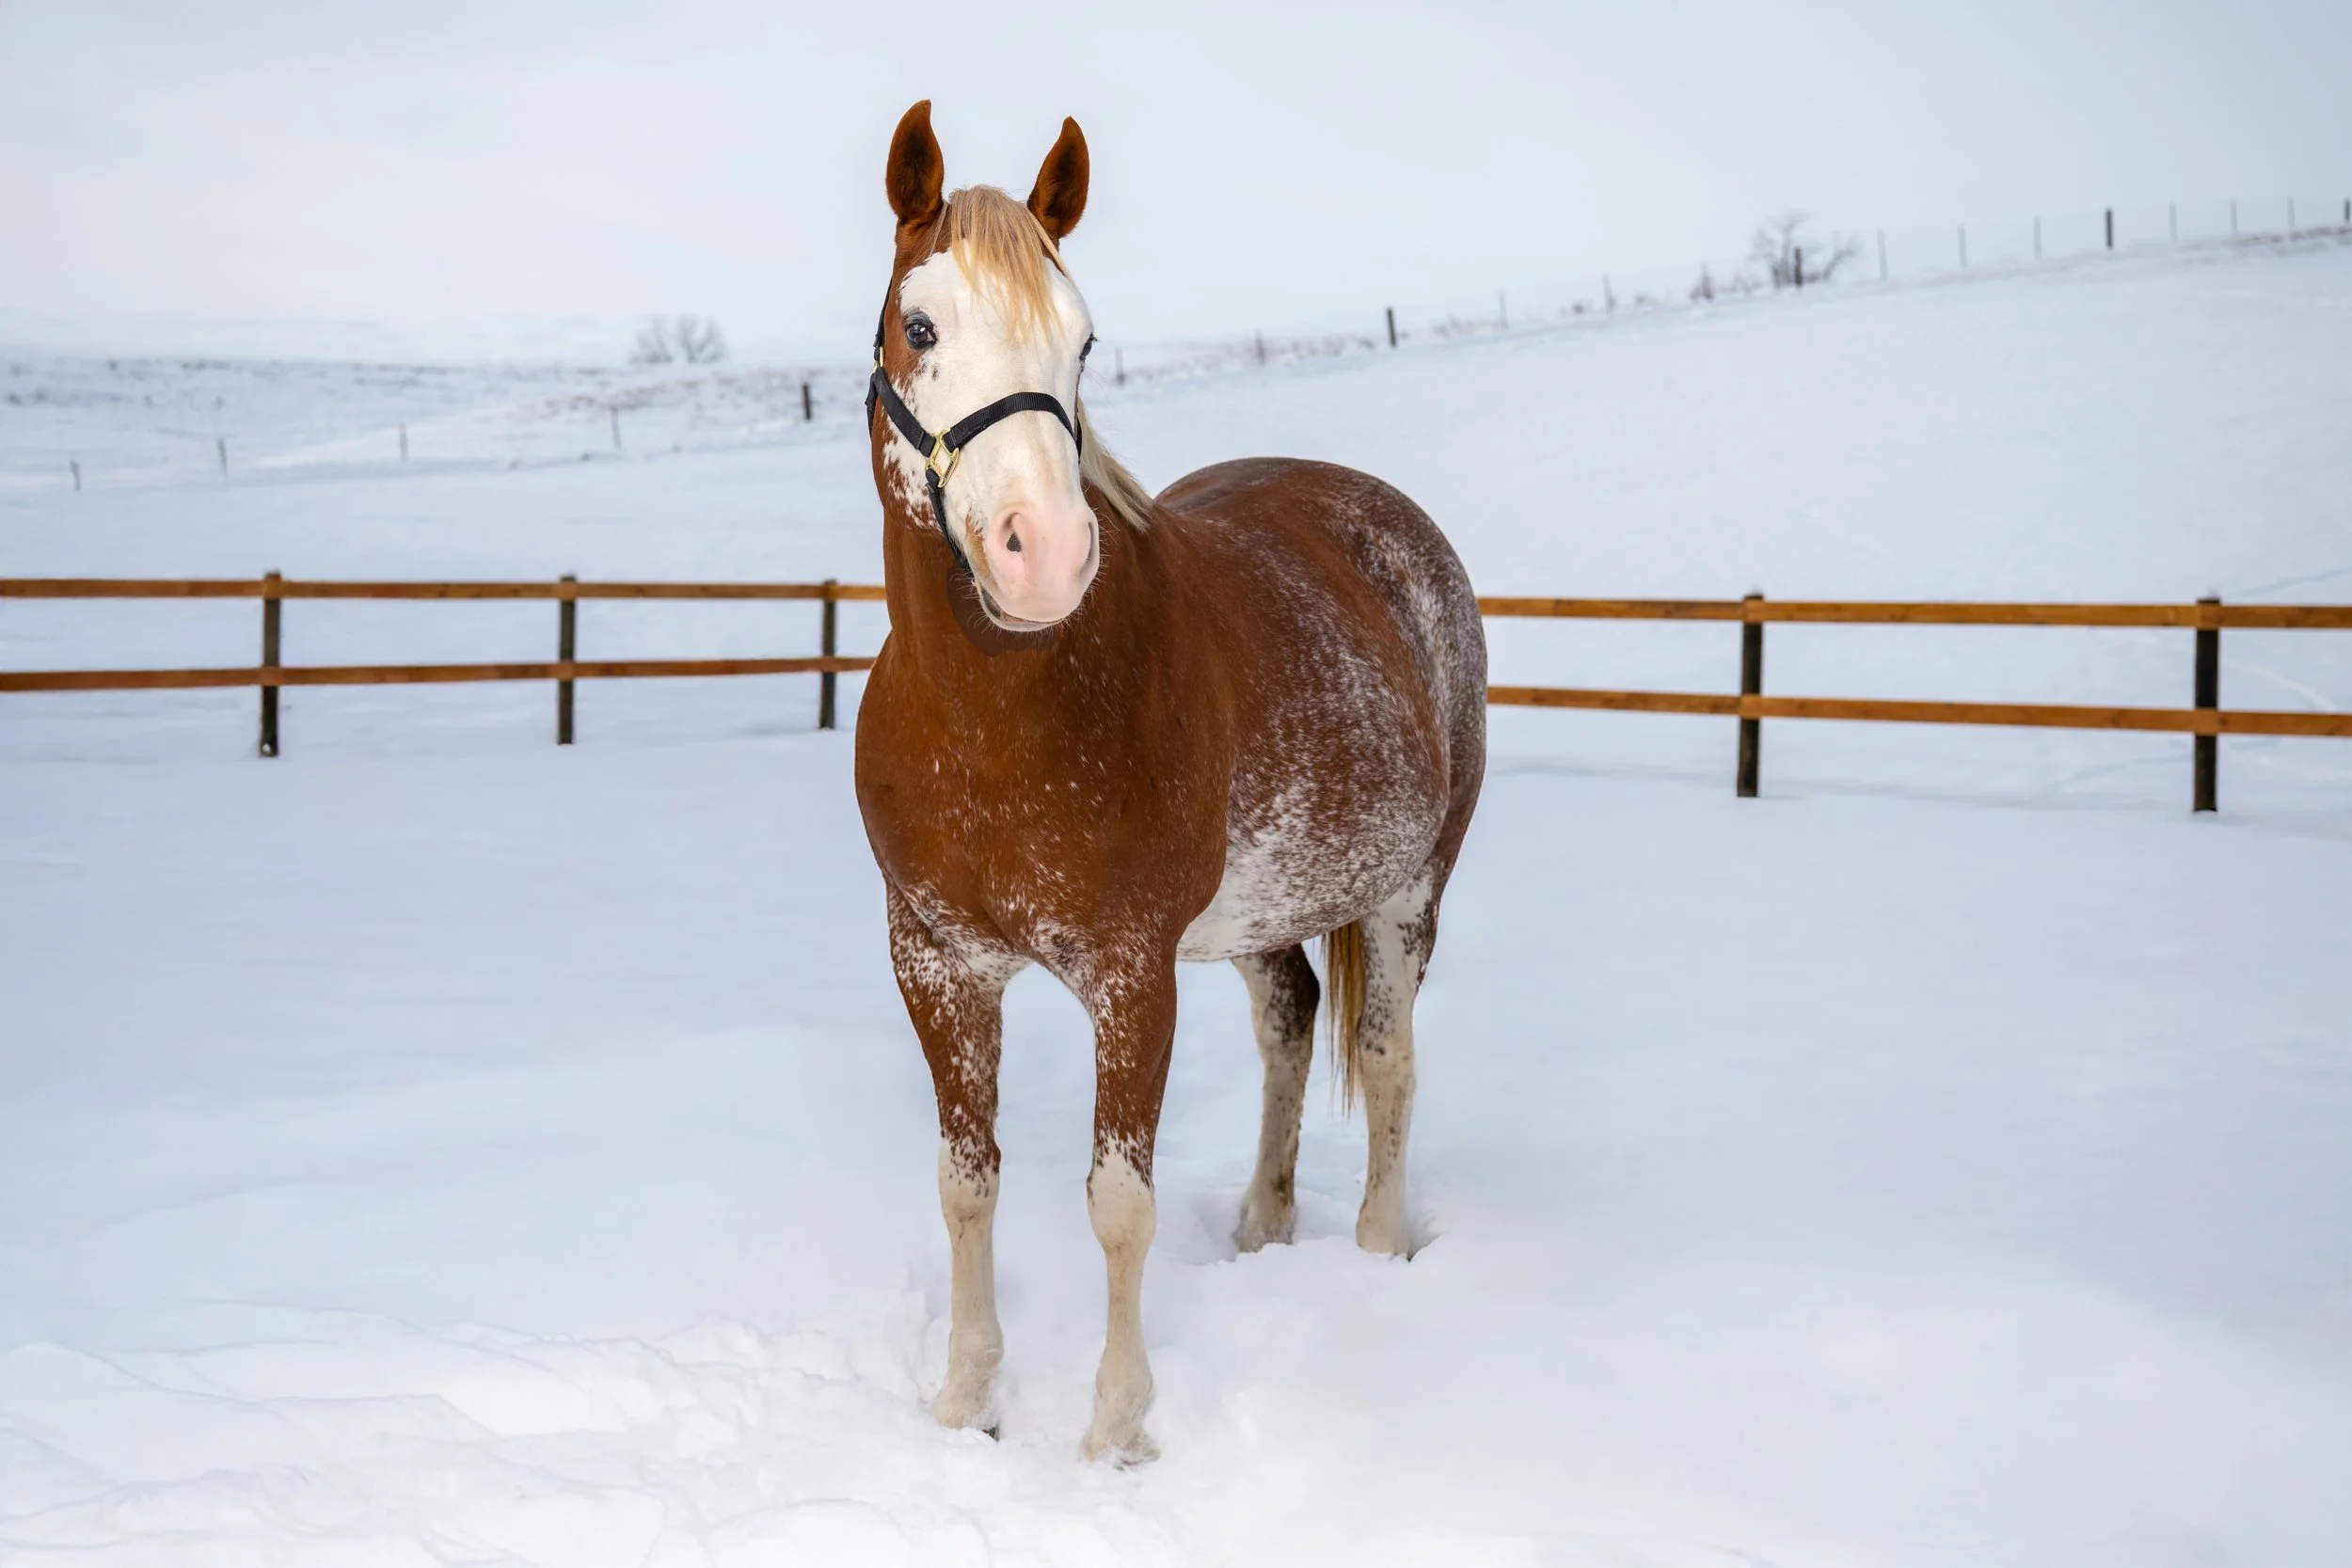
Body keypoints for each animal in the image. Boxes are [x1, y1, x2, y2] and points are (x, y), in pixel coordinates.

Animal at [853, 101, 1486, 1462]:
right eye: (921, 327)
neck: (993, 720)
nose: (1044, 556)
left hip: (1408, 887)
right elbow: (965, 1181)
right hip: (1261, 914)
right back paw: (1260, 1225)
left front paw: (1114, 1433)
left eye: (1083, 339)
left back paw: (1372, 1251)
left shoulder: (1131, 975)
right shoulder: (932, 958)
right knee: (1291, 1020)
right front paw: (965, 1405)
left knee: (1388, 1053)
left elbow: (1116, 1204)